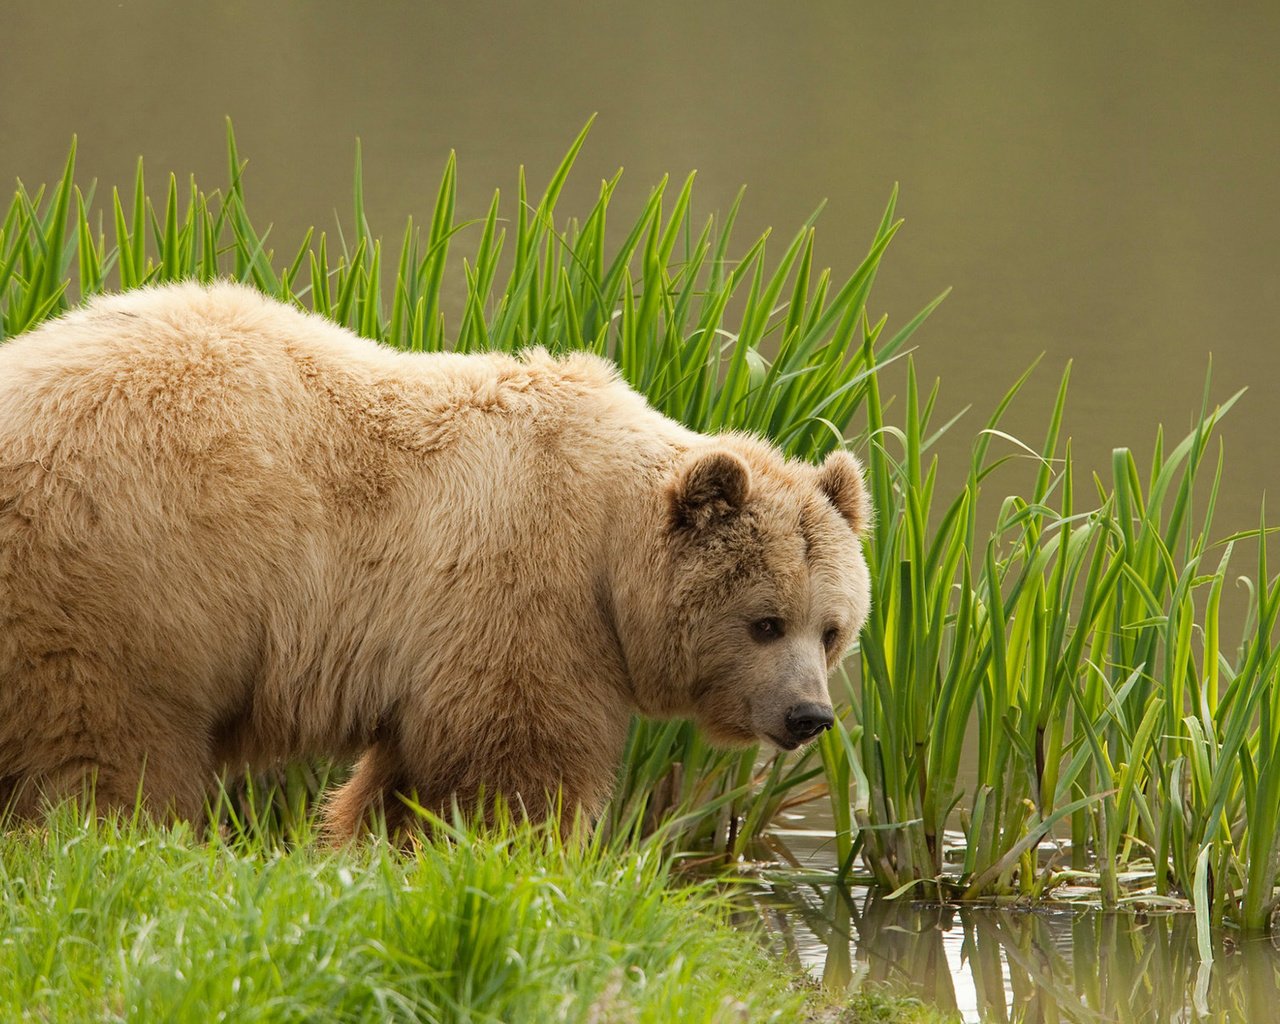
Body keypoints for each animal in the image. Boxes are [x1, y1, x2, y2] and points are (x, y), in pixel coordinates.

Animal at [0, 284, 870, 834]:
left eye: (832, 629)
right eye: (765, 622)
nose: (810, 715)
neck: (609, 553)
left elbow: (407, 781)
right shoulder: (521, 590)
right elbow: (514, 762)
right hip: (123, 577)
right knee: (106, 751)